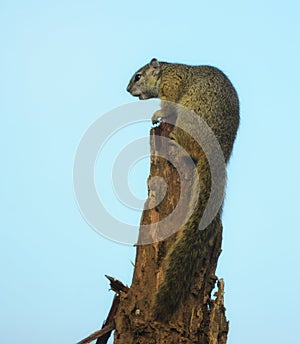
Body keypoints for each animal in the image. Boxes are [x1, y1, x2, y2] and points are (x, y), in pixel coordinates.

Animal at [126, 58, 239, 322]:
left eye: (138, 77)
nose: (127, 89)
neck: (167, 70)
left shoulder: (171, 87)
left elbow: (167, 108)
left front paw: (157, 115)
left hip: (188, 119)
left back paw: (175, 142)